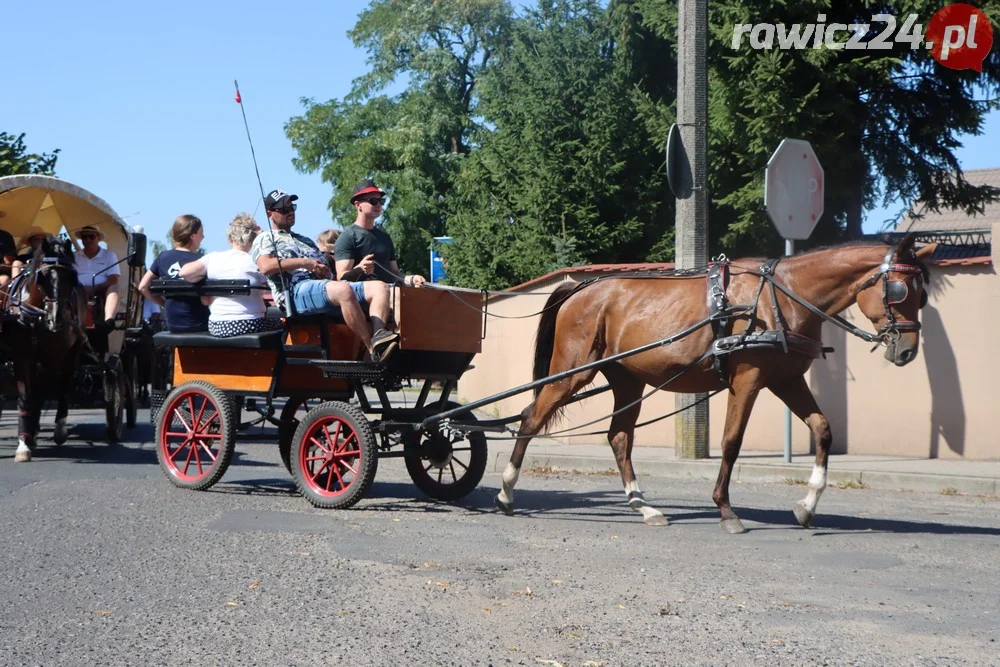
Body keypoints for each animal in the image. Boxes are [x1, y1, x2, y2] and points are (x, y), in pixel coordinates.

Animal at [496, 234, 932, 532]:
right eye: (900, 290)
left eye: (922, 296)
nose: (908, 351)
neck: (780, 298)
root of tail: (580, 286)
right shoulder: (748, 379)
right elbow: (731, 441)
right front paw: (725, 508)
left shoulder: (787, 380)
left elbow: (823, 429)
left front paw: (807, 505)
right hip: (573, 372)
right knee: (531, 418)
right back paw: (506, 491)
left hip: (628, 380)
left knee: (619, 437)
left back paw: (643, 505)